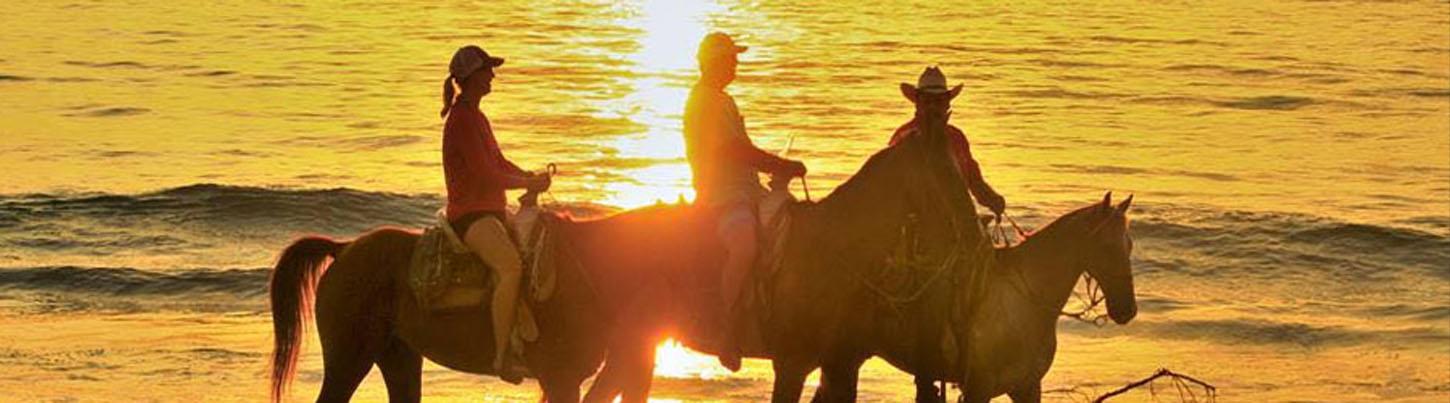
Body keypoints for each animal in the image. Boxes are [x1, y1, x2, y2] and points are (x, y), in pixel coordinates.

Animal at [810, 193, 1139, 403]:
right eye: (1107, 246)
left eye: (1130, 244)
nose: (1127, 310)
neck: (1026, 305)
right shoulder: (979, 387)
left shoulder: (1027, 387)